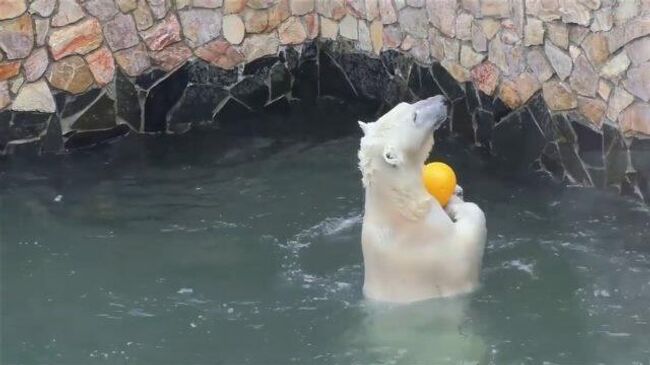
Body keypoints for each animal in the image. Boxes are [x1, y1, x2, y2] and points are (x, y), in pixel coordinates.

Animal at [356, 95, 484, 302]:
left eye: (407, 104)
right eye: (414, 117)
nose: (443, 100)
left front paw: (456, 192)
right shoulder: (434, 244)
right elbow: (469, 237)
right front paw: (457, 205)